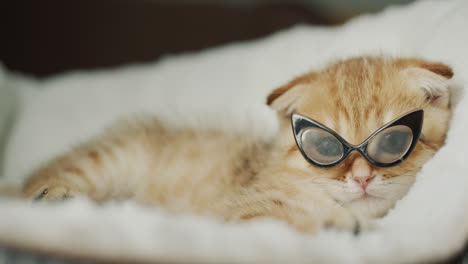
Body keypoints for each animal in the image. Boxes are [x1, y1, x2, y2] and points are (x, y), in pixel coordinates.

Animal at [21, 56, 454, 233]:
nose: (363, 178)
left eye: (393, 141)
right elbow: (286, 221)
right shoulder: (245, 215)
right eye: (326, 148)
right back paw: (52, 195)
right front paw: (335, 224)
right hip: (107, 162)